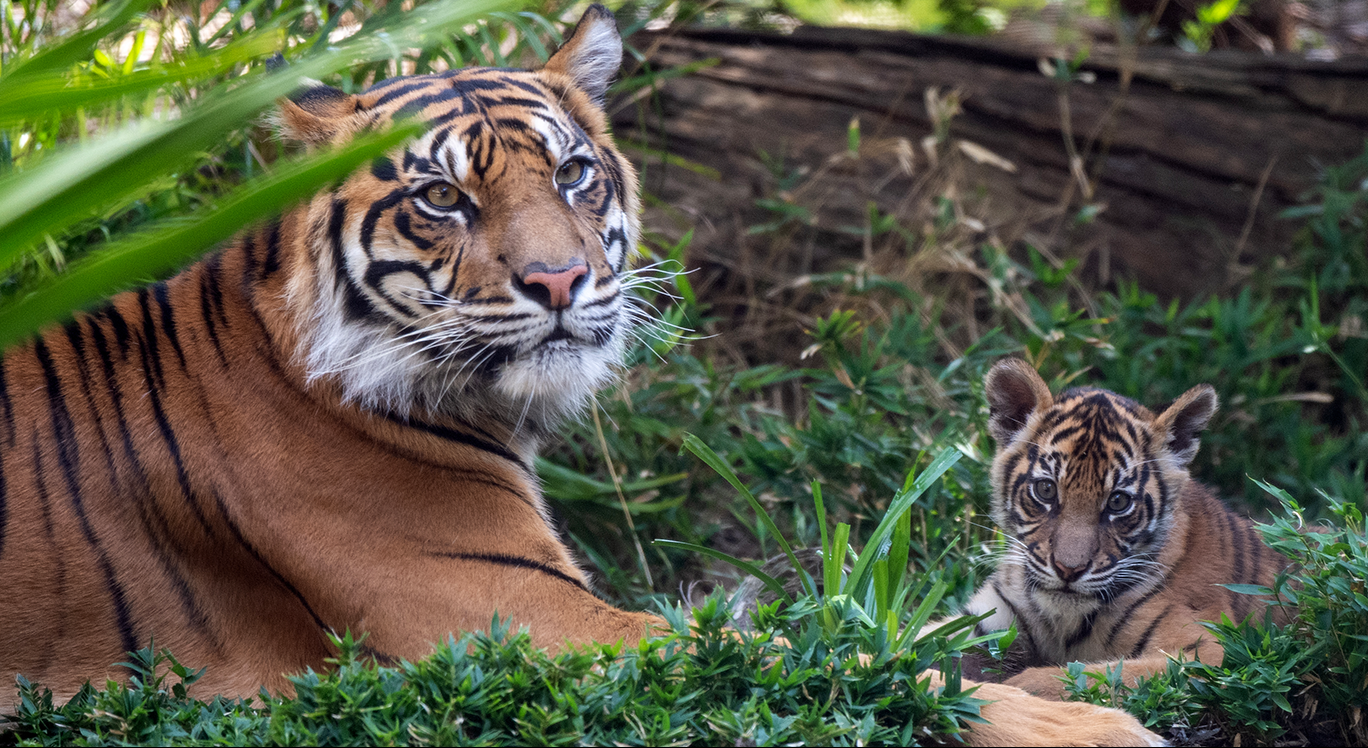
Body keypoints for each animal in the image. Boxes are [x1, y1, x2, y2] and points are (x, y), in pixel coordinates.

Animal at [0, 8, 1154, 743]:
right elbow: (823, 660)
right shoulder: (526, 619)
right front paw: (1091, 724)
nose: (559, 280)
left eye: (571, 172)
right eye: (443, 198)